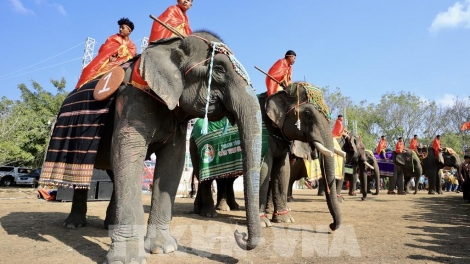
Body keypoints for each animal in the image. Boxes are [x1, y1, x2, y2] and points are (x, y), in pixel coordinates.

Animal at [40, 31, 262, 264]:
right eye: (219, 70)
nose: (240, 234)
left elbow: (172, 162)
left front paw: (163, 249)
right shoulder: (132, 97)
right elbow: (128, 148)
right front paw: (127, 260)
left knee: (114, 173)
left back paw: (108, 226)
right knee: (81, 172)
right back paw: (73, 224)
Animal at [189, 82, 344, 231]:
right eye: (307, 113)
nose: (331, 226)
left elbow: (283, 172)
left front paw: (285, 220)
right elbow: (263, 170)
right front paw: (263, 222)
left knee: (223, 179)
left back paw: (220, 208)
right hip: (196, 148)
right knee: (206, 178)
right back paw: (209, 213)